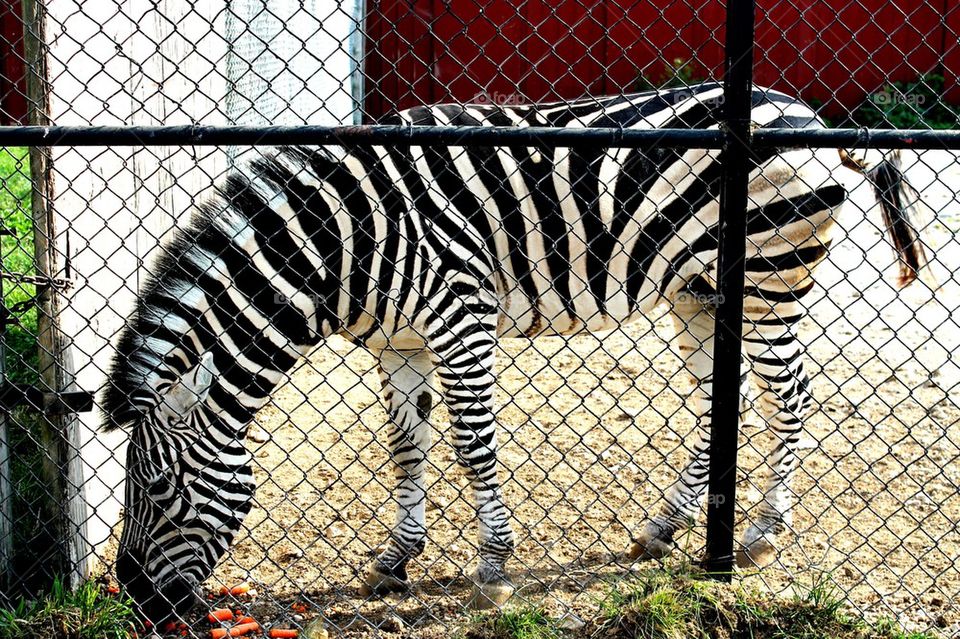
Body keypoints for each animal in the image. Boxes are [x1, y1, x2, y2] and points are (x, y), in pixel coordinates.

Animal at [103, 82, 926, 622]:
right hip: (700, 292)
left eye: (158, 488)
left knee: (790, 394)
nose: (140, 599)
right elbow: (407, 449)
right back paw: (665, 525)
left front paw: (493, 566)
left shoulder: (459, 316)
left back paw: (760, 533)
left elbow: (473, 445)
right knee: (722, 399)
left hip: (766, 280)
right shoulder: (398, 343)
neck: (346, 243)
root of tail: (810, 114)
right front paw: (396, 559)